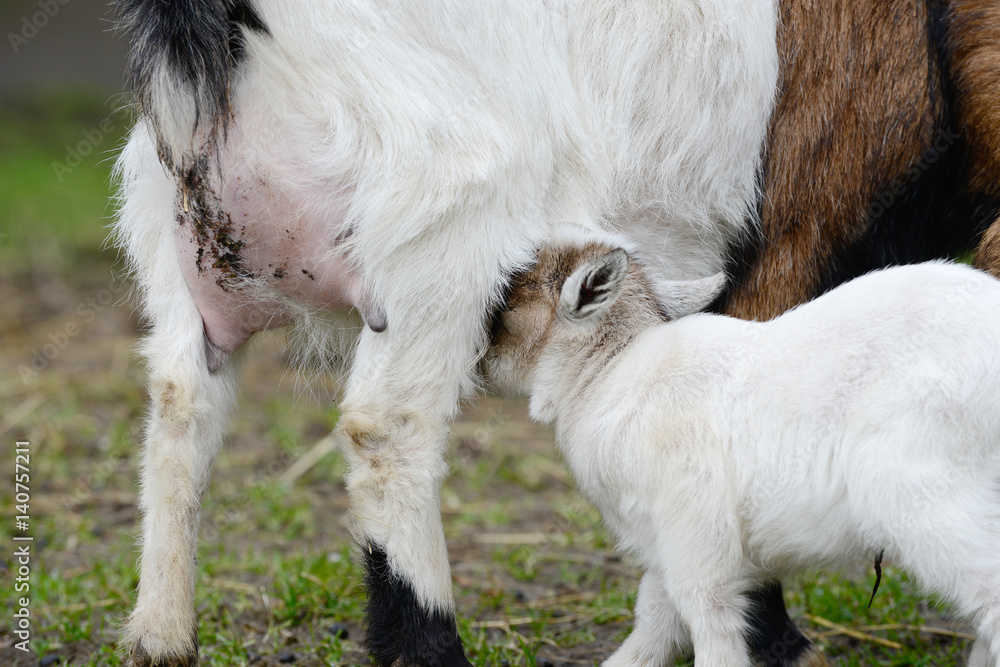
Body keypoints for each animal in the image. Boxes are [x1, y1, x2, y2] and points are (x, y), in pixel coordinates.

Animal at [481, 232, 1000, 667]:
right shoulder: (666, 544)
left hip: (925, 495)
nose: (479, 363)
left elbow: (709, 624)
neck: (605, 374)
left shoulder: (696, 533)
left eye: (515, 294)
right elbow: (653, 621)